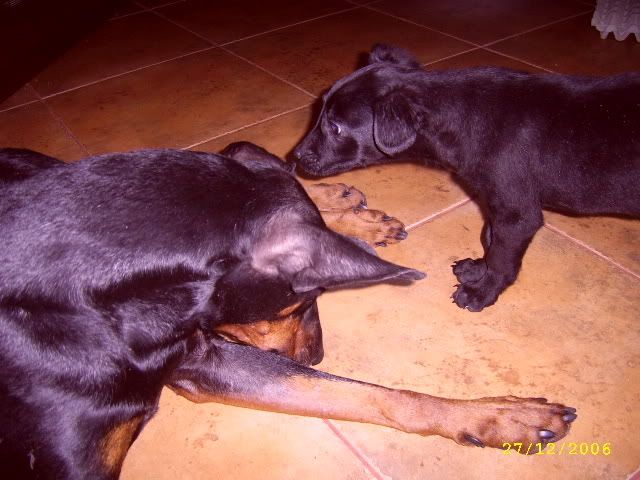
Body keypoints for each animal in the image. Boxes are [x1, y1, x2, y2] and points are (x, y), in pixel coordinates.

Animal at [0, 143, 577, 479]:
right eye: (299, 300)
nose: (316, 356)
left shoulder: (199, 356)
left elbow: (369, 394)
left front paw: (501, 415)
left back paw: (345, 205)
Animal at [294, 43, 640, 312]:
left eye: (335, 127)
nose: (295, 156)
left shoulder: (517, 214)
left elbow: (502, 256)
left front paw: (482, 291)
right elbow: (489, 237)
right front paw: (477, 270)